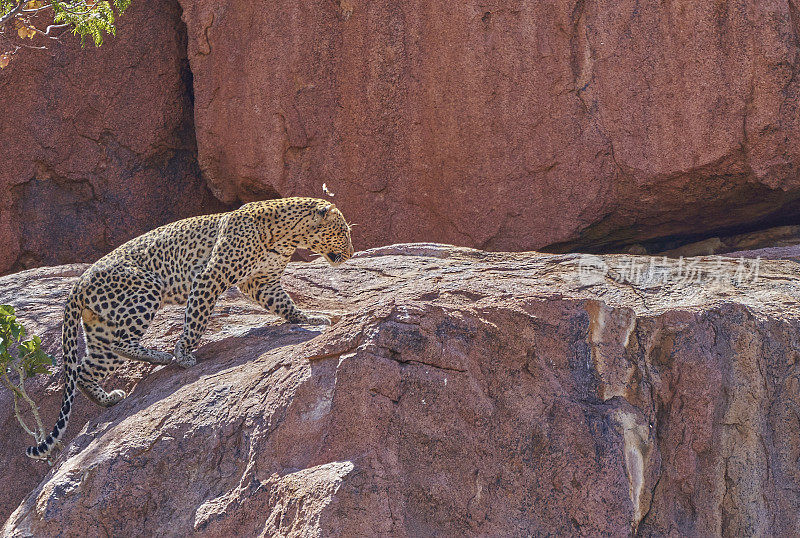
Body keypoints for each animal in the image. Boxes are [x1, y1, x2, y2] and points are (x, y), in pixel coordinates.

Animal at [26, 197, 352, 456]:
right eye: (343, 232)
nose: (351, 253)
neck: (288, 235)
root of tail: (77, 283)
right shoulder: (210, 276)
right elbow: (196, 318)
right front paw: (184, 353)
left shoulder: (262, 283)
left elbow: (286, 305)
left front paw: (310, 318)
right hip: (146, 289)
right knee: (119, 343)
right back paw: (162, 357)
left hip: (101, 326)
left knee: (85, 369)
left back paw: (109, 399)